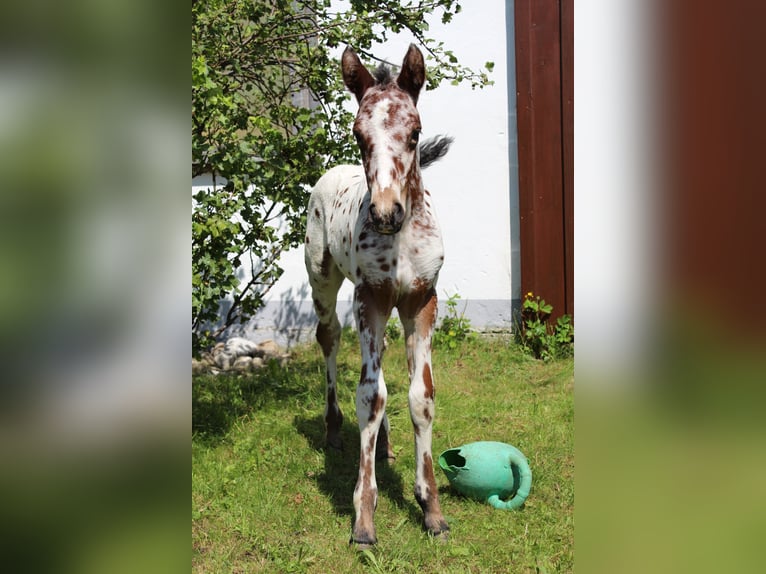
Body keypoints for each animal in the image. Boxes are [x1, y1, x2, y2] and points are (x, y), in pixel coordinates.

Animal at [304, 45, 450, 548]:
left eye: (416, 132)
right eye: (357, 133)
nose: (387, 213)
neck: (401, 240)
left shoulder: (421, 301)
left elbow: (420, 396)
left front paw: (431, 509)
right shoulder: (368, 298)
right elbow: (370, 395)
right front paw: (363, 519)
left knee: (382, 359)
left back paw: (384, 444)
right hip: (324, 280)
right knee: (328, 338)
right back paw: (333, 429)